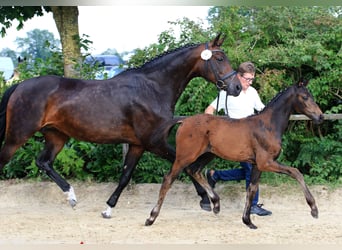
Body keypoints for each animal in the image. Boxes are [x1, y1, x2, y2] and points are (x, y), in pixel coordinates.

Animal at [0, 33, 242, 219]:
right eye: (220, 58)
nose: (237, 87)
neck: (153, 88)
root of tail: (19, 85)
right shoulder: (154, 142)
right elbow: (183, 164)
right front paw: (206, 200)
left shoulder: (137, 145)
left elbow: (125, 177)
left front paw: (108, 209)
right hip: (18, 135)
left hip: (56, 136)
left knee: (44, 162)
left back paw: (72, 197)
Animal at [144, 80, 324, 229]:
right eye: (304, 97)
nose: (320, 116)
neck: (268, 126)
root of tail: (183, 121)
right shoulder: (266, 162)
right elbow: (296, 172)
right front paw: (314, 209)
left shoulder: (257, 165)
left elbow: (251, 190)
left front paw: (248, 221)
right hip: (184, 156)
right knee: (168, 179)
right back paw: (151, 218)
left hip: (207, 155)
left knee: (194, 171)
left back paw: (216, 204)